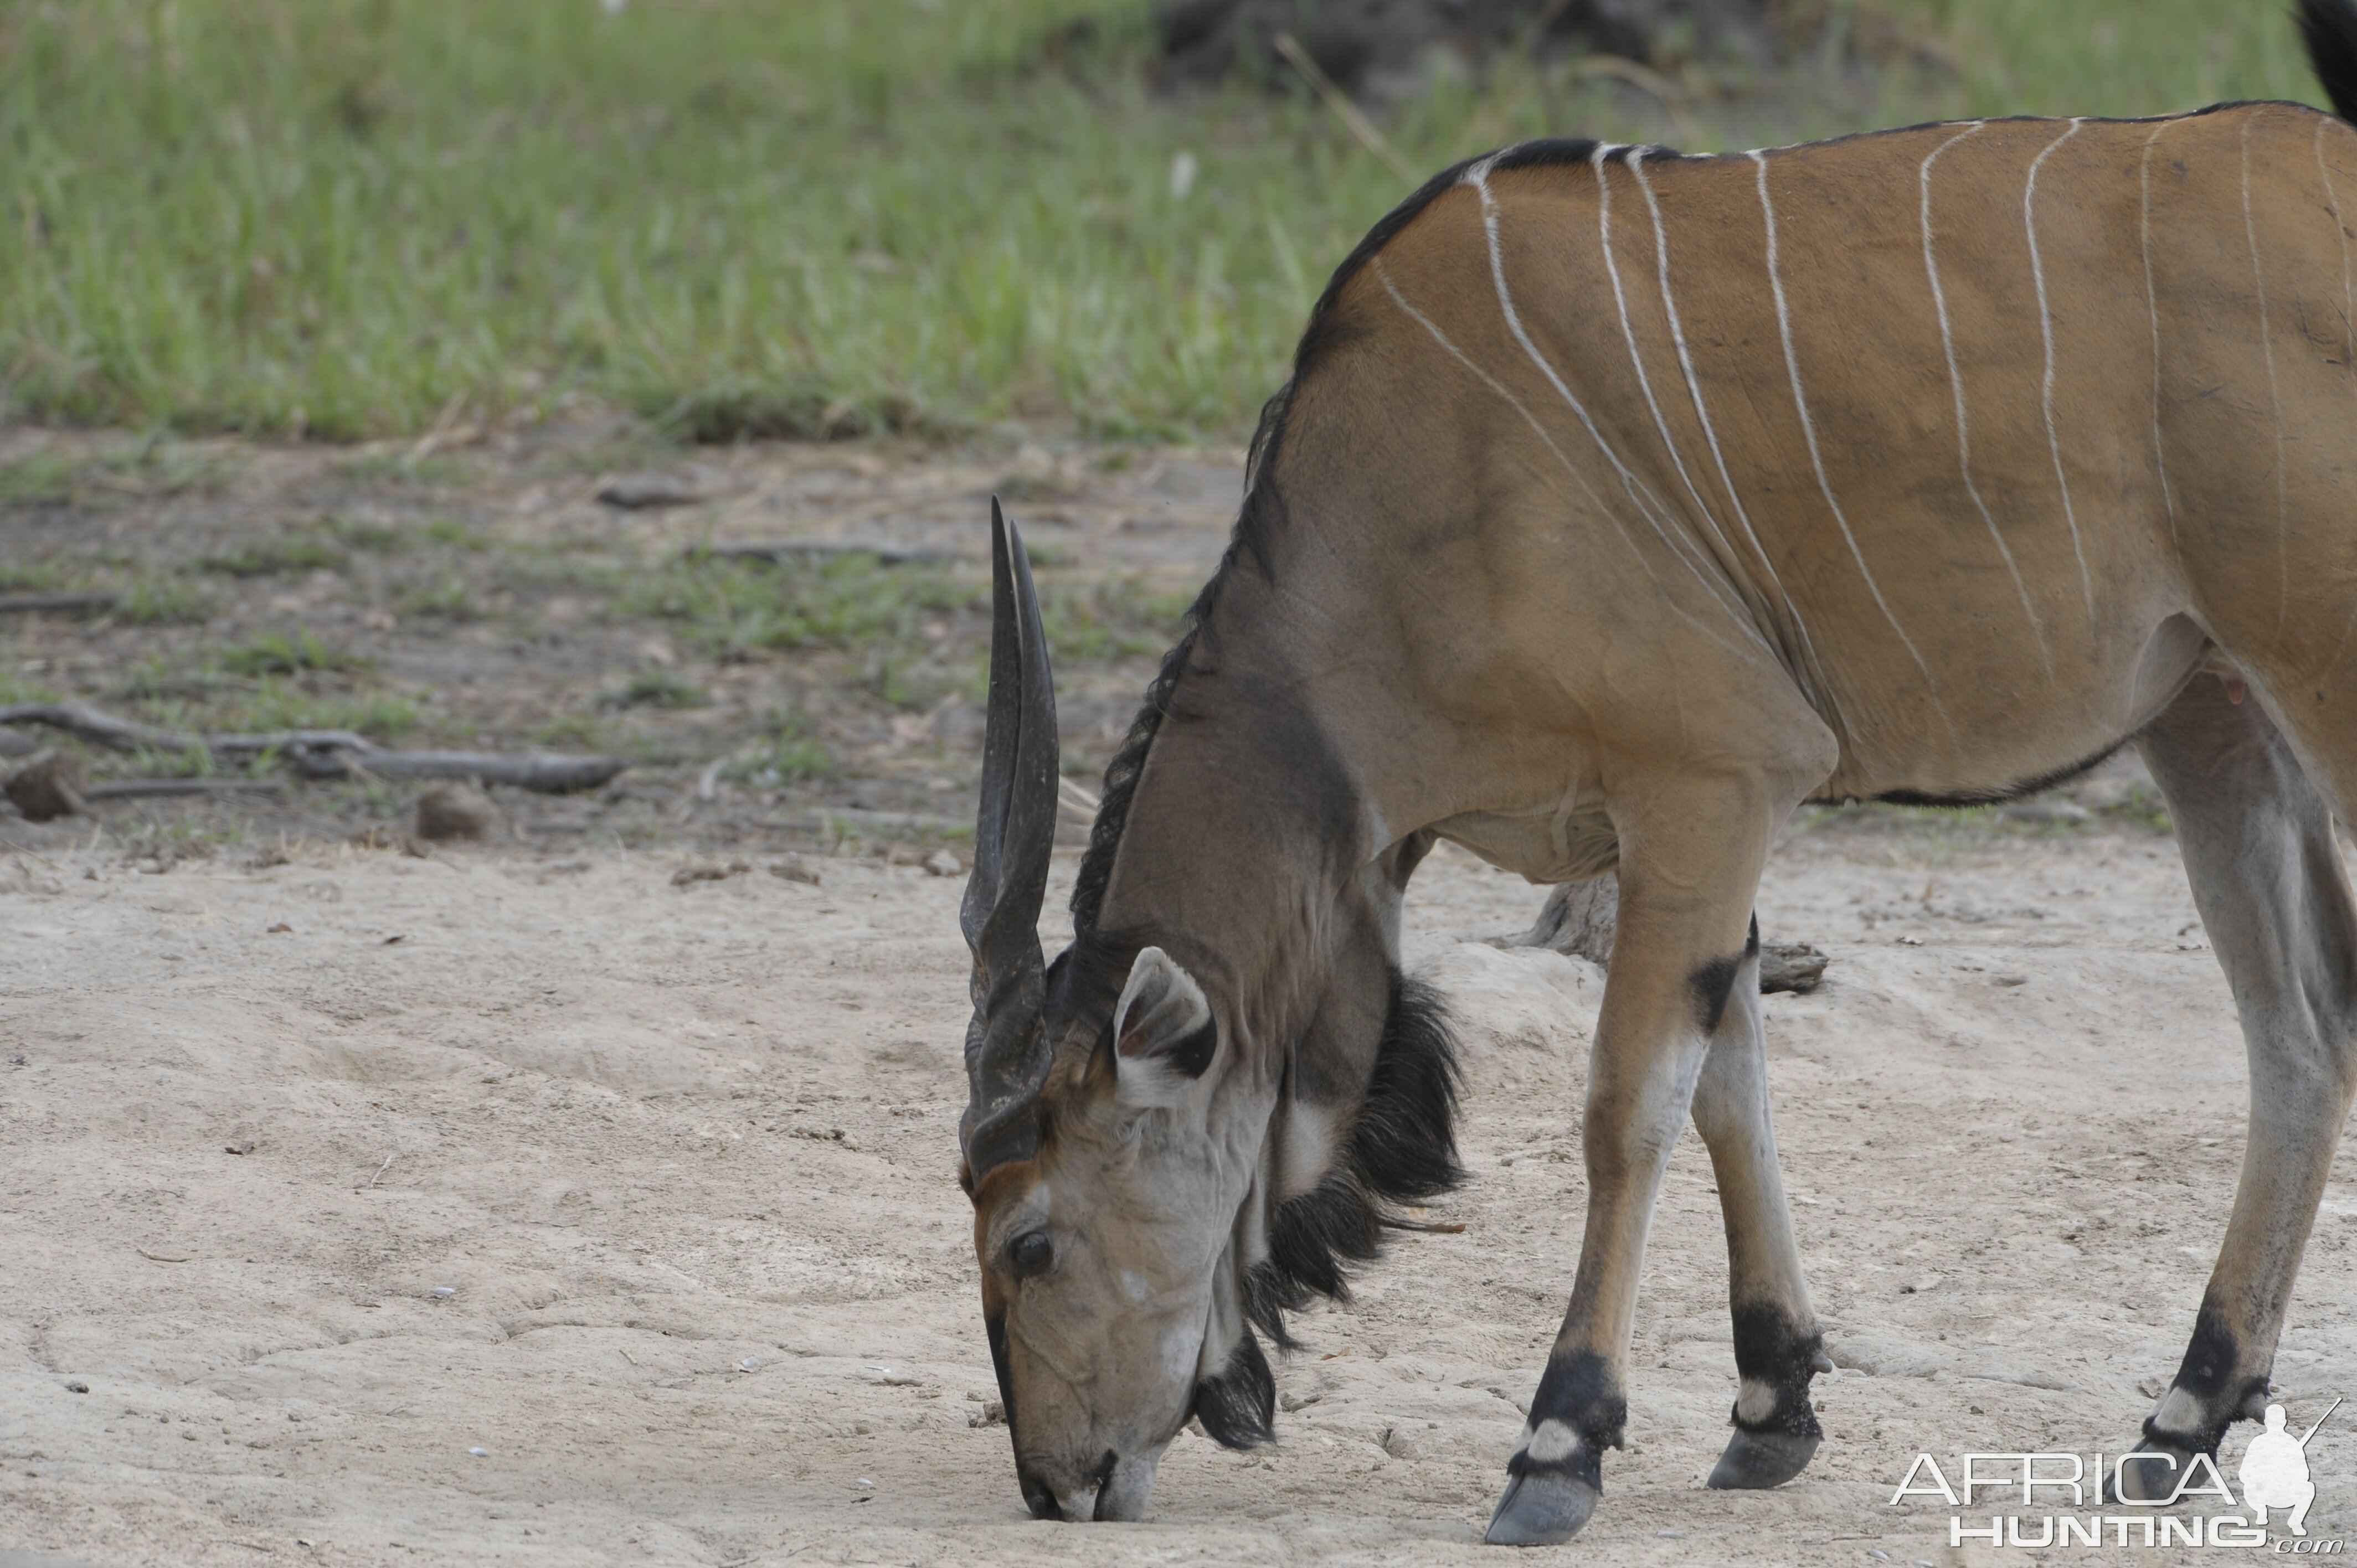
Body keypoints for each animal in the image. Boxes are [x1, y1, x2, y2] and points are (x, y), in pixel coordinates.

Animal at [952, 3, 2357, 1537]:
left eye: (1030, 1239)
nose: (1053, 1480)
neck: (1391, 501)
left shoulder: (1712, 776)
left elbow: (1629, 1106)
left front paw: (1559, 1444)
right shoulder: (1678, 821)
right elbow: (1733, 1072)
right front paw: (1771, 1406)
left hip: (2314, 678)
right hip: (2215, 712)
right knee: (2302, 1032)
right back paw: (2186, 1416)